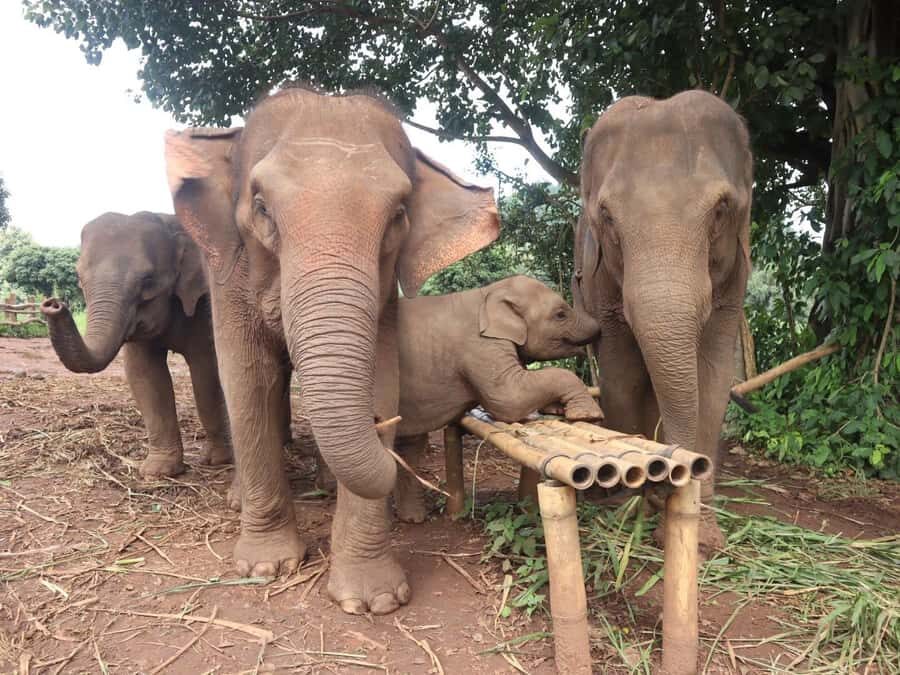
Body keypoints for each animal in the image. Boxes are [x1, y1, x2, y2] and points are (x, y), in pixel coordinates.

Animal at [40, 211, 233, 478]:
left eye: (148, 280)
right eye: (79, 277)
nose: (53, 304)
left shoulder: (205, 303)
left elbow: (207, 371)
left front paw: (217, 461)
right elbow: (144, 375)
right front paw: (158, 471)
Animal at [163, 85, 499, 615]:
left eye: (398, 215)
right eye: (261, 207)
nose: (385, 426)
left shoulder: (383, 297)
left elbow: (380, 374)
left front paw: (374, 600)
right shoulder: (228, 277)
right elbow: (248, 378)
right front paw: (265, 567)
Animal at [391, 274, 603, 523]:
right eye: (560, 314)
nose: (577, 276)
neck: (489, 293)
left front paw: (557, 409)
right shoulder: (481, 344)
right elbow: (508, 398)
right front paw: (588, 416)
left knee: (409, 444)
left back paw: (412, 518)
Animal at [572, 90, 753, 551]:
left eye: (721, 209)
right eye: (608, 217)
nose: (664, 487)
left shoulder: (734, 282)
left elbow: (713, 376)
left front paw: (702, 534)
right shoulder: (599, 280)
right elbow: (621, 371)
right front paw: (626, 504)